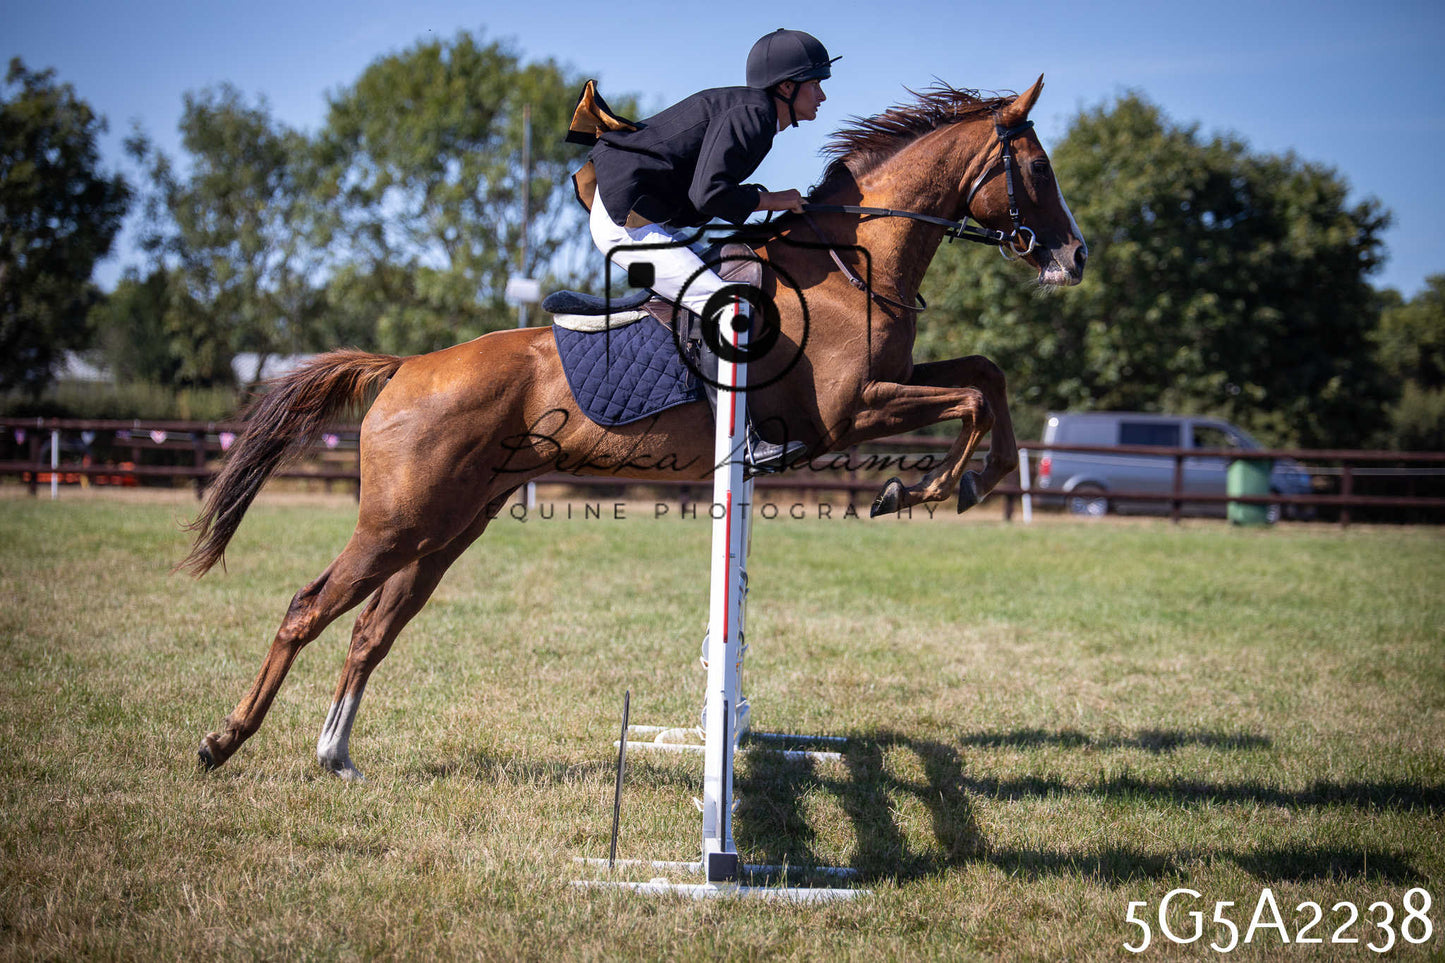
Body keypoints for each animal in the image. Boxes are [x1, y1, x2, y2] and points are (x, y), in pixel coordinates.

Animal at [183, 76, 1087, 779]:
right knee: (307, 608)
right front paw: (924, 488)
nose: (1074, 257)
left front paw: (971, 480)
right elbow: (970, 401)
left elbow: (987, 377)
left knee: (373, 629)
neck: (847, 266)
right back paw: (223, 741)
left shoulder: (887, 385)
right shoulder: (850, 408)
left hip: (449, 525)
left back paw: (334, 754)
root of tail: (406, 366)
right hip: (398, 519)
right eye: (1038, 168)